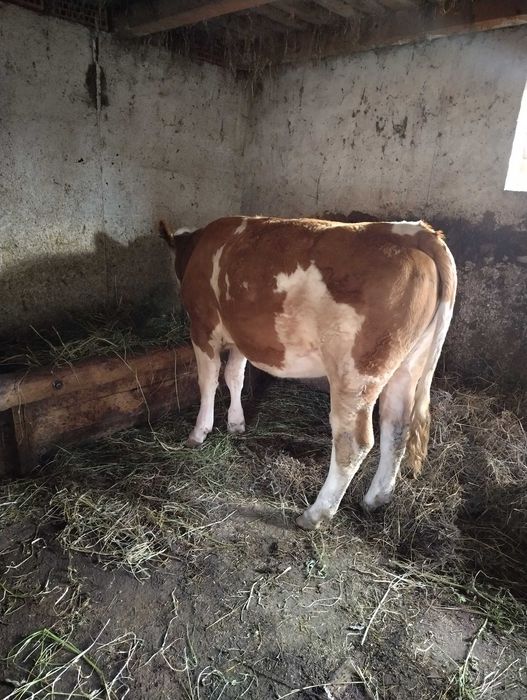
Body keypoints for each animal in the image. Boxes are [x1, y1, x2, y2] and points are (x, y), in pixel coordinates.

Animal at [160, 216, 457, 530]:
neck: (198, 246)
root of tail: (414, 231)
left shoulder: (202, 328)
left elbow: (207, 381)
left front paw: (199, 432)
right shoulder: (242, 336)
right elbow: (234, 377)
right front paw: (236, 423)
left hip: (356, 373)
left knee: (353, 442)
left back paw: (316, 514)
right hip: (408, 364)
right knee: (397, 428)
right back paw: (376, 498)